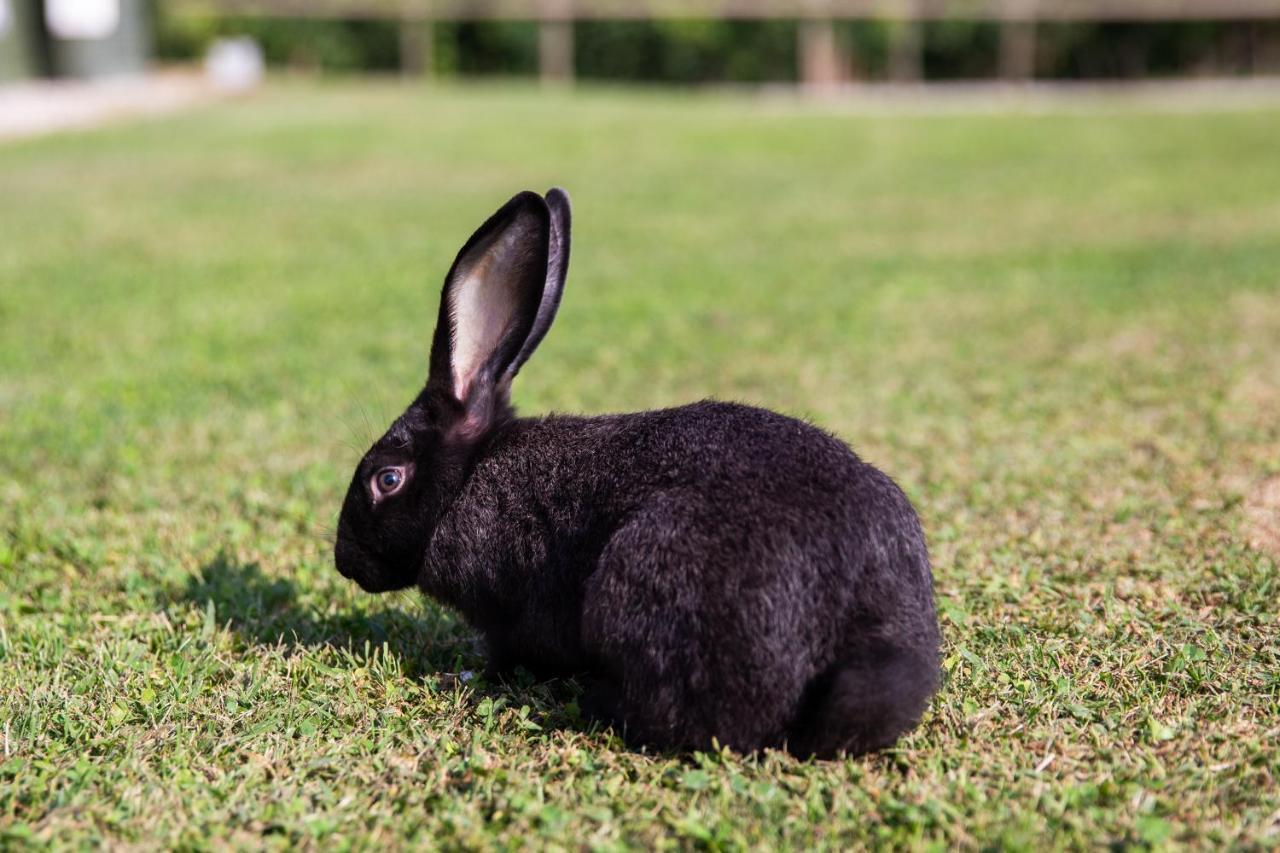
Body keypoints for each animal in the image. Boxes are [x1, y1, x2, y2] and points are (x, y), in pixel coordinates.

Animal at [335, 189, 947, 753]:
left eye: (387, 480)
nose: (344, 561)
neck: (465, 483)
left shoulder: (513, 615)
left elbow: (511, 655)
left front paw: (459, 676)